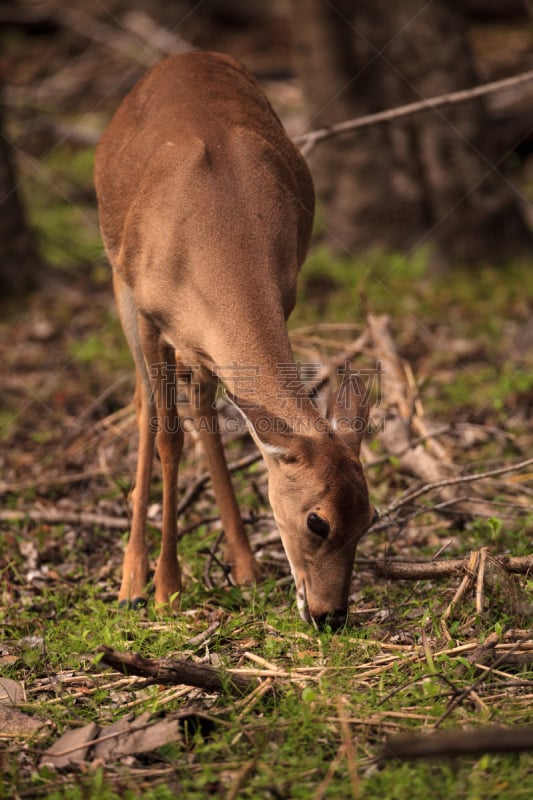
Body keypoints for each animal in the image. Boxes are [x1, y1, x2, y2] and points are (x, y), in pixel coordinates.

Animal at [94, 53, 370, 632]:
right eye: (317, 521)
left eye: (369, 519)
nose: (330, 614)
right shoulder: (147, 313)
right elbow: (166, 435)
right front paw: (164, 589)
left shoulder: (278, 297)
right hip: (119, 281)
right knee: (144, 404)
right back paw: (132, 581)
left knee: (201, 406)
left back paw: (243, 565)